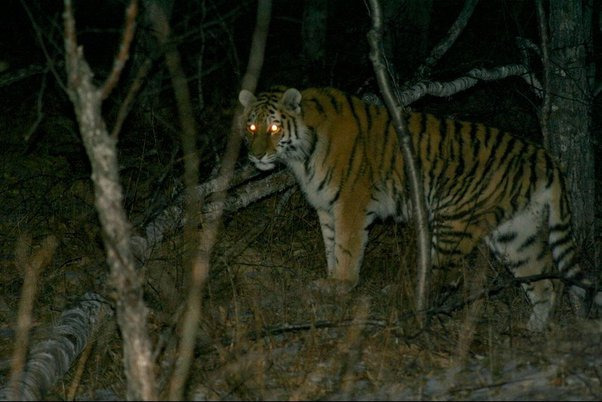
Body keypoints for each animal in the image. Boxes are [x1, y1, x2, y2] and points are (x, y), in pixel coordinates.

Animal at [236, 85, 596, 330]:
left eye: (274, 127)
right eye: (251, 127)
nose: (255, 155)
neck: (303, 154)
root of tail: (545, 157)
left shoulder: (350, 203)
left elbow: (347, 248)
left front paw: (342, 285)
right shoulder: (326, 208)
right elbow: (330, 246)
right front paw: (329, 281)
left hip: (453, 223)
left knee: (443, 276)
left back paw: (412, 309)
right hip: (516, 235)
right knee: (548, 282)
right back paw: (535, 329)